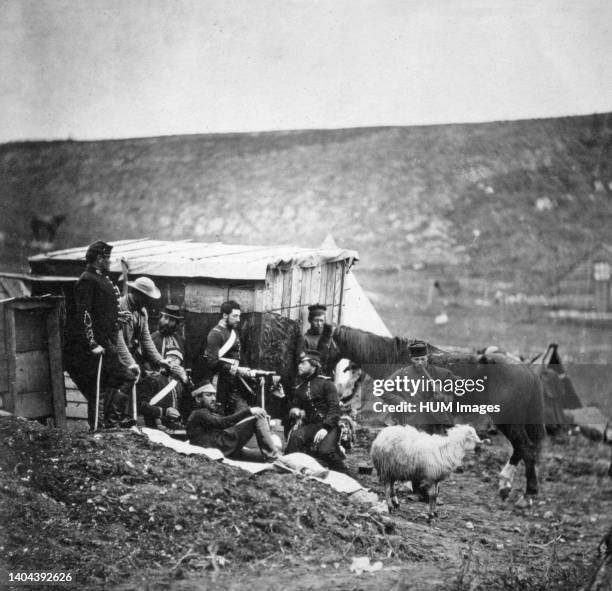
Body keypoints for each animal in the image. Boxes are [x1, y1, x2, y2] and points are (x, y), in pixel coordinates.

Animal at [332, 326, 548, 502]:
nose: (343, 396)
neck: (398, 359)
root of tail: (528, 370)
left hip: (507, 419)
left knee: (526, 448)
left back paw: (528, 494)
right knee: (521, 448)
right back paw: (505, 486)